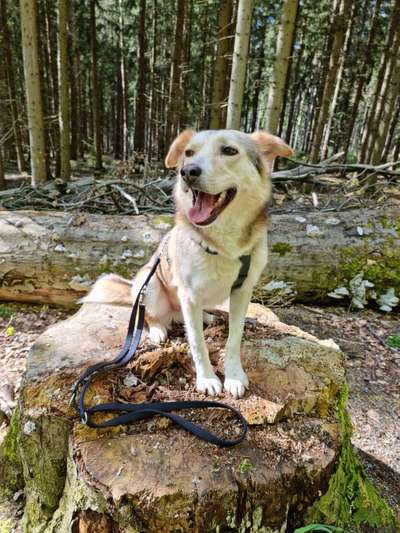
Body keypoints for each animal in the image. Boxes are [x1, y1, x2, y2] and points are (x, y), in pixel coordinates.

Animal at [82, 128, 294, 394]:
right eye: (189, 153)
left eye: (229, 150)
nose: (188, 171)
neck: (224, 246)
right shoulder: (190, 295)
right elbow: (197, 344)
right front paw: (207, 379)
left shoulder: (242, 292)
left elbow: (234, 338)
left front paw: (234, 376)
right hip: (149, 285)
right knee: (150, 316)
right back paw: (158, 329)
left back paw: (207, 317)